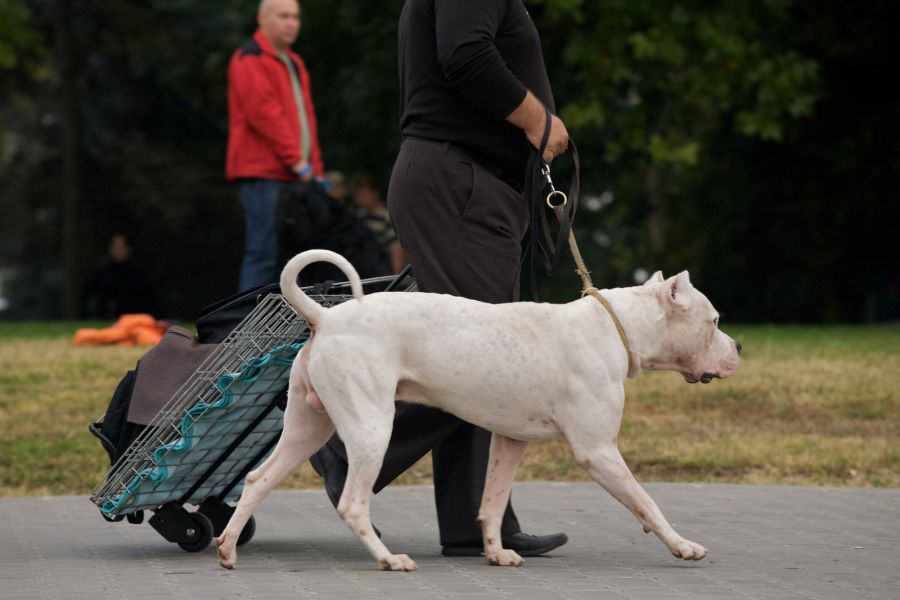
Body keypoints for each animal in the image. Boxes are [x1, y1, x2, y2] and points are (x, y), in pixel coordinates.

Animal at [216, 248, 740, 572]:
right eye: (714, 320)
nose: (737, 347)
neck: (615, 327)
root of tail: (324, 316)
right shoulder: (599, 452)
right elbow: (646, 501)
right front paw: (683, 545)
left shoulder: (510, 442)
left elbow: (490, 502)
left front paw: (496, 552)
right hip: (371, 428)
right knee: (352, 502)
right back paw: (388, 559)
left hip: (307, 427)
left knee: (258, 479)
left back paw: (227, 549)